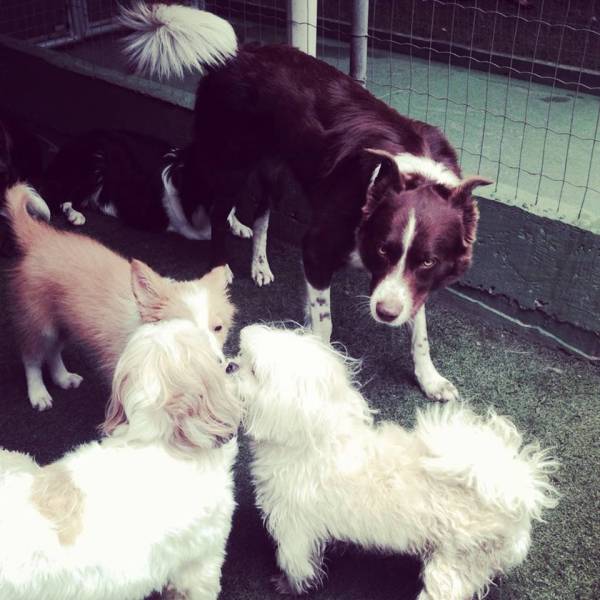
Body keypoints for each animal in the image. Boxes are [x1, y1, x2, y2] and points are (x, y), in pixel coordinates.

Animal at [4, 185, 236, 410]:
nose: (220, 366)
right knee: (31, 358)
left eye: (218, 328)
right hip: (38, 323)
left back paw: (63, 378)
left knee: (52, 352)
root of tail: (40, 236)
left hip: (62, 322)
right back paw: (38, 393)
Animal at [232, 324, 560, 600]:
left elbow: (296, 564)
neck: (312, 438)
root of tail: (513, 487)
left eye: (254, 370)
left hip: (452, 568)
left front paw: (288, 586)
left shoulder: (293, 528)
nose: (229, 365)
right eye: (242, 354)